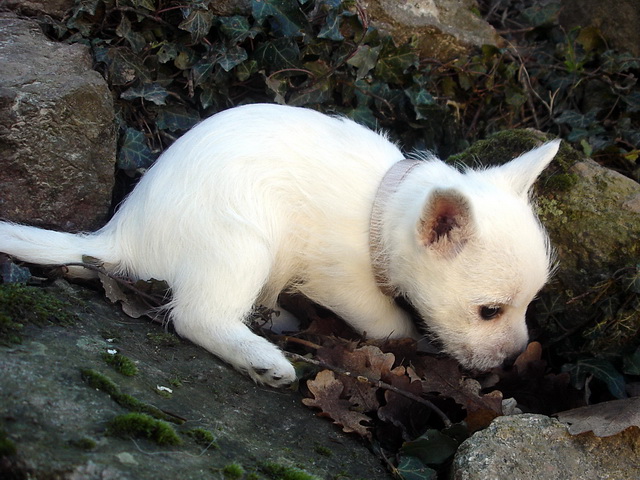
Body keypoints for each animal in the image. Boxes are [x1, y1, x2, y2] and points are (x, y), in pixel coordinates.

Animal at [0, 104, 556, 386]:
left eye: (530, 304)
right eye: (489, 311)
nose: (515, 359)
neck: (381, 210)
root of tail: (122, 233)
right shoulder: (345, 283)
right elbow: (385, 320)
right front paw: (408, 339)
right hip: (243, 244)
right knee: (196, 315)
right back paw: (263, 360)